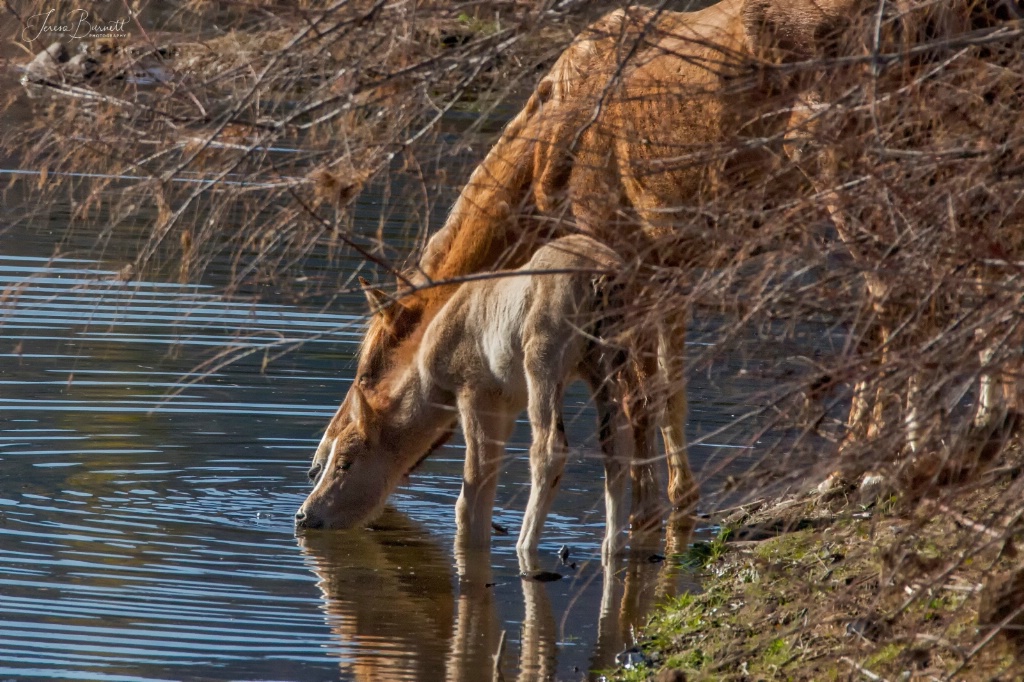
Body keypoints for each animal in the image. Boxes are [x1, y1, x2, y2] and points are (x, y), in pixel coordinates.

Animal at [296, 233, 651, 557]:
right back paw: (612, 548)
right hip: (606, 364)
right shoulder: (507, 407)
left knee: (550, 448)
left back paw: (525, 545)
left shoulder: (476, 391)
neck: (430, 380)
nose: (302, 514)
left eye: (345, 463)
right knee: (617, 444)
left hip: (543, 357)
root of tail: (603, 280)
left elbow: (470, 498)